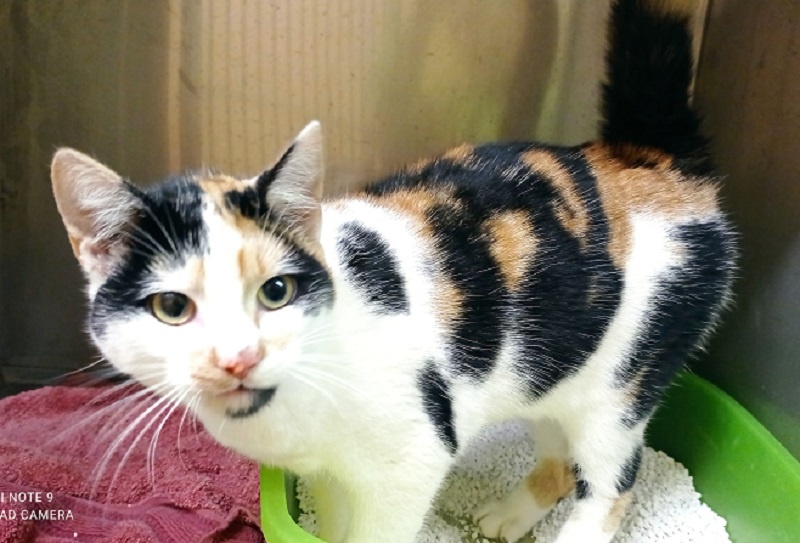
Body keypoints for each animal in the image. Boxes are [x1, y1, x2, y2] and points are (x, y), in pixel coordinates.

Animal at [50, 1, 736, 542]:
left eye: (277, 292)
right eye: (172, 307)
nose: (238, 358)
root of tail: (647, 159)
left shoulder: (411, 461)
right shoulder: (328, 475)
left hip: (620, 386)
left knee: (612, 485)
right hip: (552, 369)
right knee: (561, 460)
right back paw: (507, 516)